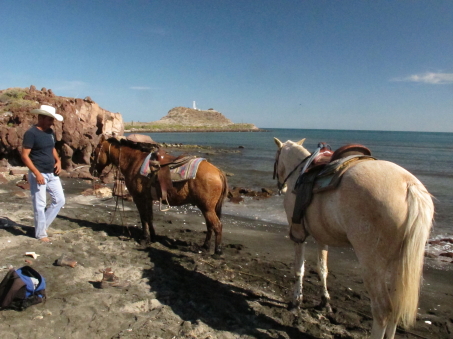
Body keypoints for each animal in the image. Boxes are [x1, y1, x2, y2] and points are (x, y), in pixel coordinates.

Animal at [90, 136, 228, 255]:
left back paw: (217, 251)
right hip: (207, 208)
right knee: (210, 226)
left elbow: (144, 218)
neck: (135, 162)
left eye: (95, 152)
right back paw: (205, 247)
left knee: (217, 226)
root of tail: (218, 172)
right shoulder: (148, 199)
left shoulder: (139, 198)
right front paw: (153, 237)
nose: (92, 171)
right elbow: (150, 217)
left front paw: (144, 238)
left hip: (207, 208)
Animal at [272, 138, 434, 339]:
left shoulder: (298, 234)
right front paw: (325, 302)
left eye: (276, 158)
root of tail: (409, 186)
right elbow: (322, 269)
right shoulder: (322, 236)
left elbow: (299, 270)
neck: (300, 173)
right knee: (396, 308)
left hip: (372, 264)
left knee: (382, 310)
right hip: (401, 263)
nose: (281, 186)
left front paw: (296, 302)